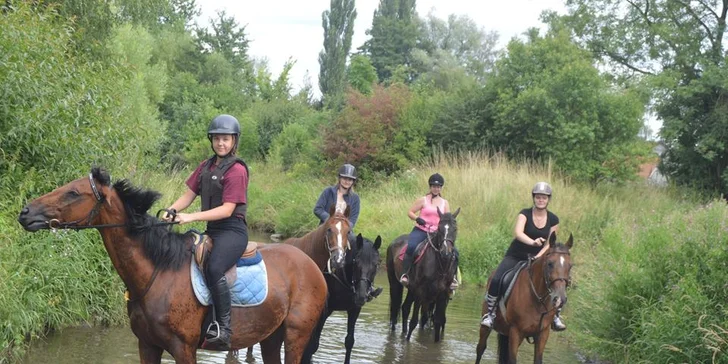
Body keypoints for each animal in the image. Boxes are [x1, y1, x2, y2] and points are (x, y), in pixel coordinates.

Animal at [17, 168, 328, 364]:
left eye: (72, 193)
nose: (25, 212)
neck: (157, 273)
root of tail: (312, 265)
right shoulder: (147, 345)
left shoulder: (183, 348)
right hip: (271, 337)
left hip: (296, 335)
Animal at [302, 233, 384, 364]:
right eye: (356, 262)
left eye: (377, 264)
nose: (361, 295)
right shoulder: (324, 311)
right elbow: (313, 344)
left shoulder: (354, 309)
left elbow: (349, 341)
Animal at [384, 206, 458, 342]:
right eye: (439, 228)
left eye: (455, 229)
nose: (446, 253)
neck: (440, 265)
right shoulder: (421, 292)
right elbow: (414, 321)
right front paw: (407, 343)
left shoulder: (442, 295)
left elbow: (438, 321)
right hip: (395, 283)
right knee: (395, 309)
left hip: (411, 289)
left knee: (405, 308)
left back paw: (403, 332)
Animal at [474, 233, 576, 364]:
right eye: (550, 264)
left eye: (570, 266)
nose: (560, 299)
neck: (538, 300)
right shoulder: (516, 331)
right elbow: (512, 360)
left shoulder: (543, 333)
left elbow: (537, 360)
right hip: (487, 327)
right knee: (480, 348)